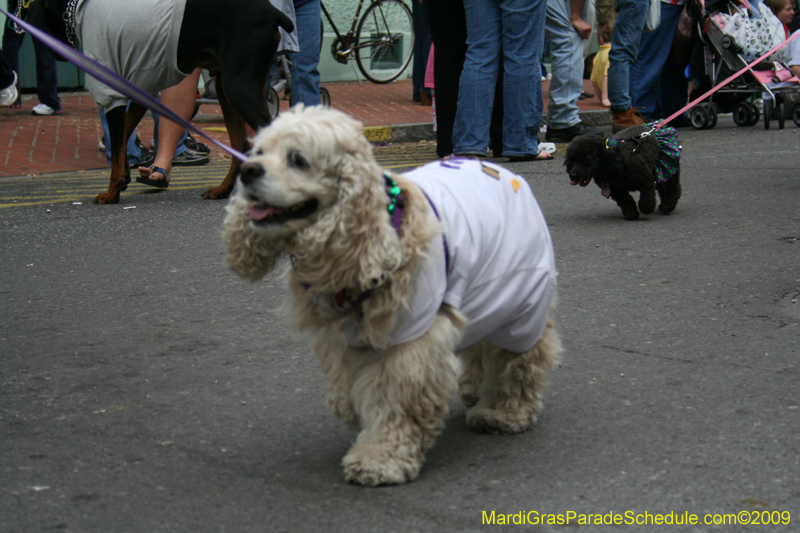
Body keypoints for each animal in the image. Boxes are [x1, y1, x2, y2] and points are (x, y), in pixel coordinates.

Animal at [35, 0, 290, 204]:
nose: (54, 53)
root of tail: (272, 11)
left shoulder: (111, 92)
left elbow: (116, 144)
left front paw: (111, 193)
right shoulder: (138, 90)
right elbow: (122, 137)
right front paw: (124, 177)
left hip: (240, 88)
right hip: (226, 89)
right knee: (241, 146)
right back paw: (222, 191)